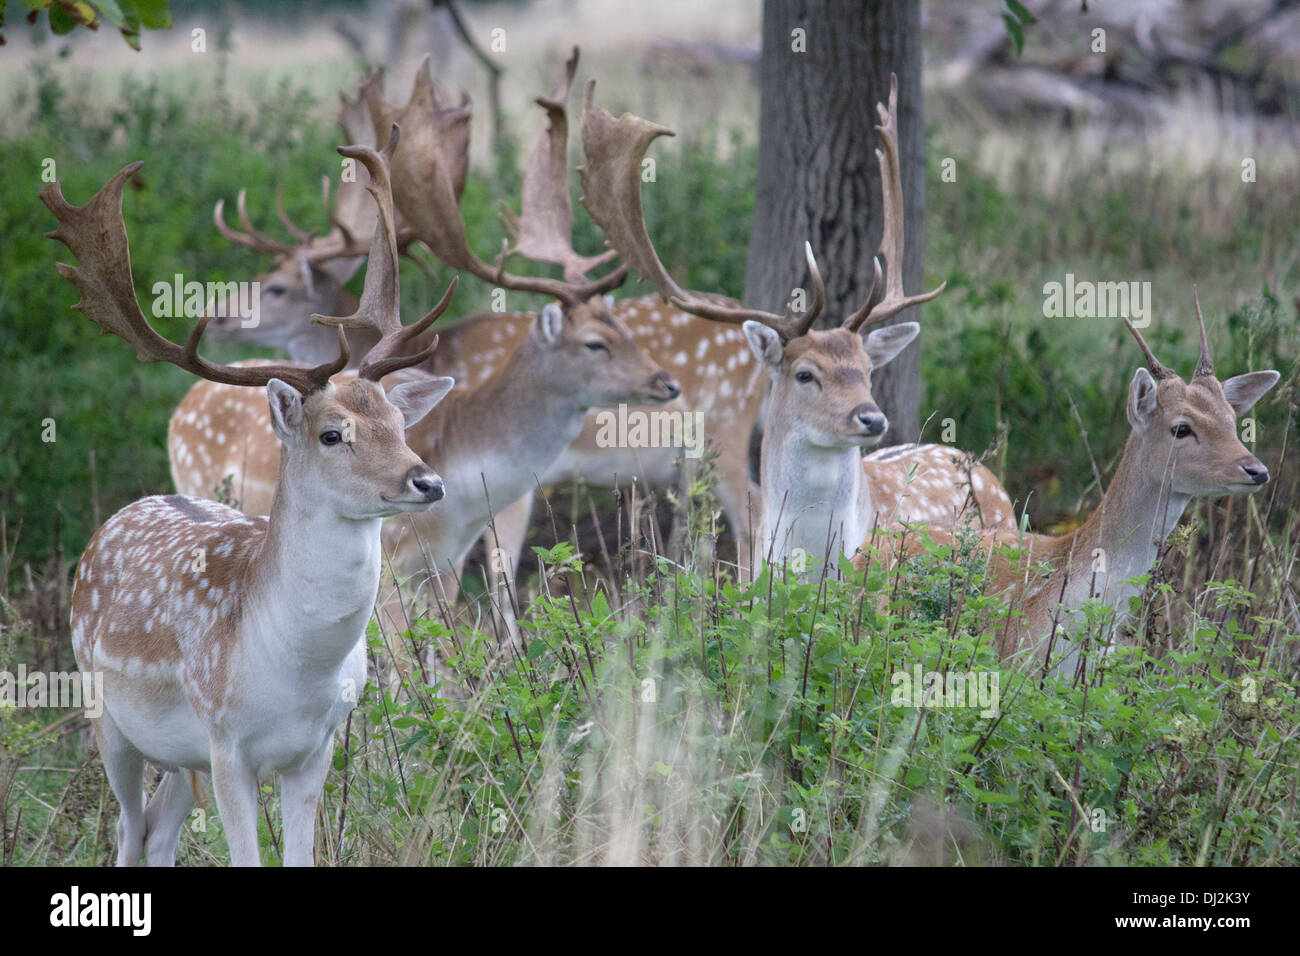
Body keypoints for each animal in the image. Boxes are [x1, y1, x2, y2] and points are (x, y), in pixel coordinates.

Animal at [47, 128, 457, 868]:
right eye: (332, 433)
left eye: (399, 422)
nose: (428, 481)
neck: (293, 671)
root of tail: (120, 515)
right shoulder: (225, 744)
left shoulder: (318, 748)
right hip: (106, 713)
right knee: (127, 828)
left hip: (180, 758)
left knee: (158, 829)